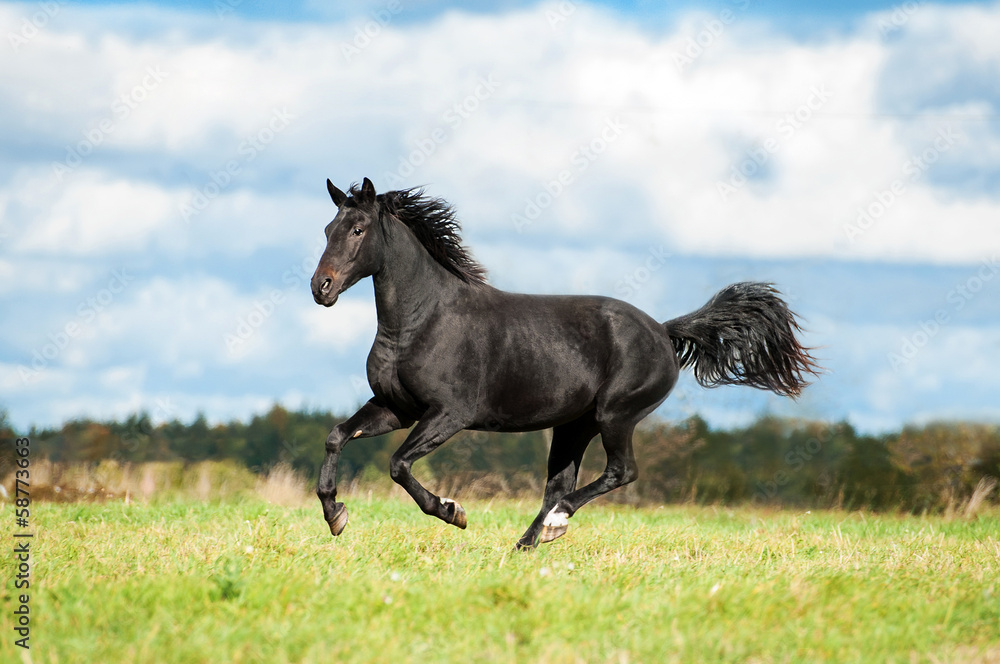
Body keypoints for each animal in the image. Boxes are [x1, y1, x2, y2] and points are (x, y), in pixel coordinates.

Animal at [310, 177, 819, 549]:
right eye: (327, 230)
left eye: (357, 230)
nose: (321, 287)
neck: (423, 320)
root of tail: (663, 330)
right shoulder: (398, 408)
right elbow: (336, 436)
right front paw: (336, 516)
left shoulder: (448, 414)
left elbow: (399, 464)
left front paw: (453, 512)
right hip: (574, 426)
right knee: (559, 484)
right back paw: (528, 543)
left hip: (615, 416)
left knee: (619, 473)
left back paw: (554, 525)